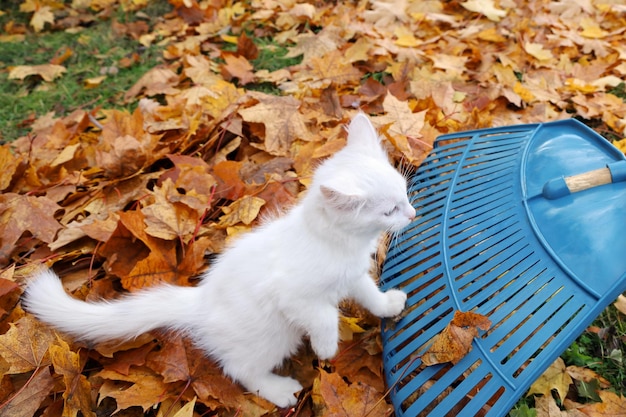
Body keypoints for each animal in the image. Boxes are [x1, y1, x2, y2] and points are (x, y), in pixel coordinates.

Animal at [22, 113, 414, 406]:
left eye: (405, 194)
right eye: (389, 210)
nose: (411, 214)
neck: (333, 241)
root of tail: (201, 301)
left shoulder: (352, 275)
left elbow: (368, 293)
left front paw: (387, 305)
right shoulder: (296, 296)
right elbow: (323, 317)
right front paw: (326, 346)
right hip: (270, 336)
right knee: (239, 368)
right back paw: (277, 390)